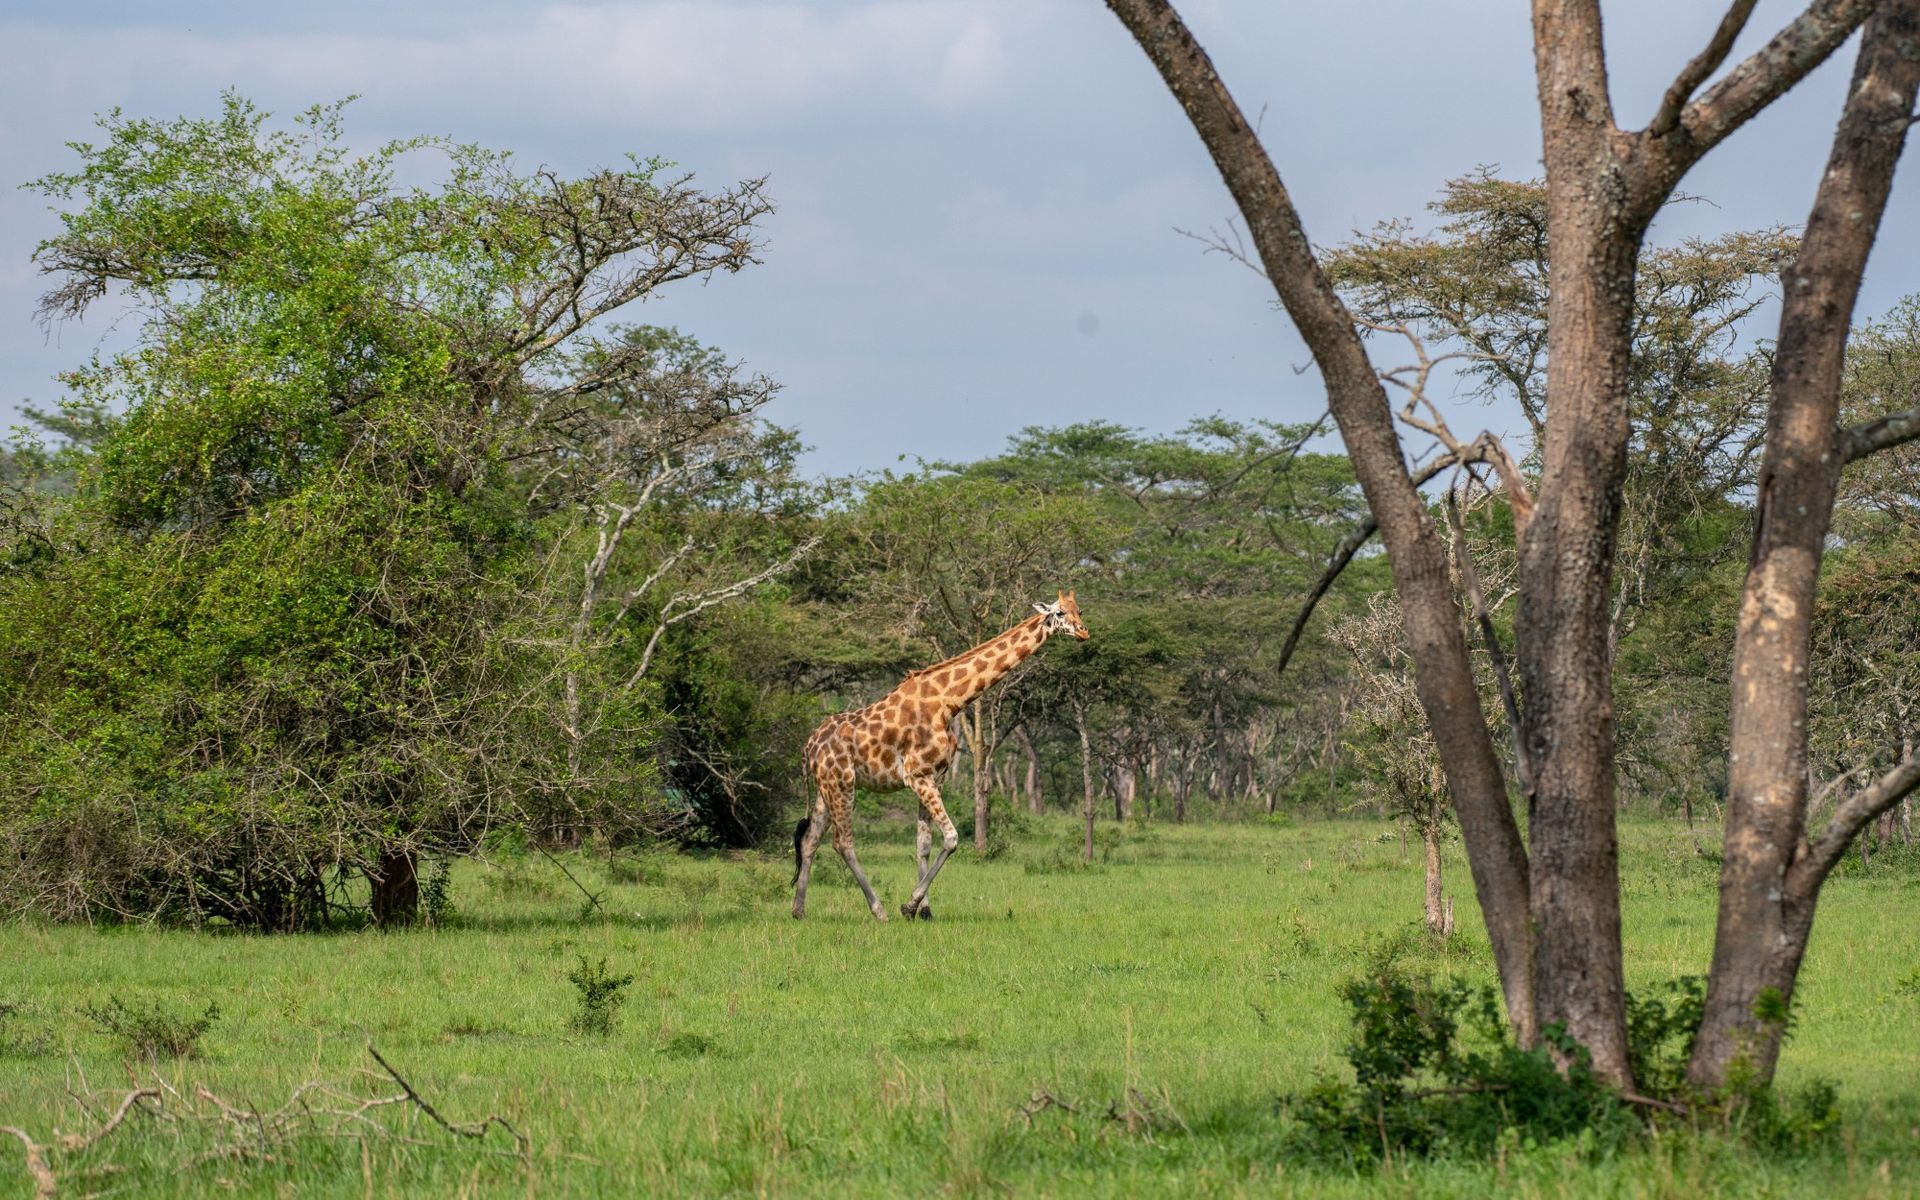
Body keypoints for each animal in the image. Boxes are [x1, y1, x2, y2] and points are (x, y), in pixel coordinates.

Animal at [791, 591, 1089, 921]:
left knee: (810, 840)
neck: (950, 702)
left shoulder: (936, 777)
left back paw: (798, 910)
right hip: (842, 784)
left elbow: (923, 844)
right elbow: (951, 837)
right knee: (842, 842)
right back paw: (878, 910)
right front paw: (909, 905)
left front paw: (924, 910)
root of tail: (808, 746)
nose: (1083, 632)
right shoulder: (918, 776)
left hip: (825, 789)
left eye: (1080, 610)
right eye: (1060, 613)